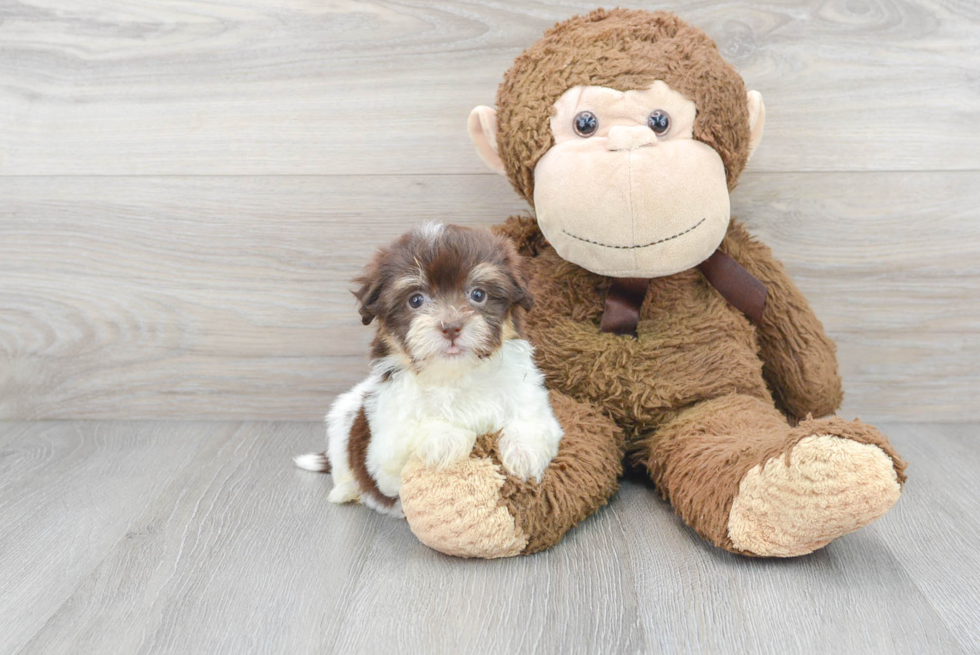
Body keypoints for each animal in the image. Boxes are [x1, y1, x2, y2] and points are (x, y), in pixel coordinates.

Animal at [294, 223, 564, 520]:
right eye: (416, 300)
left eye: (478, 294)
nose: (451, 327)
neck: (456, 375)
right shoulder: (383, 451)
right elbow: (414, 433)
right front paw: (445, 438)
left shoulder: (530, 399)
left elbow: (532, 423)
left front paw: (523, 452)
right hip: (342, 420)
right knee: (343, 466)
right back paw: (345, 491)